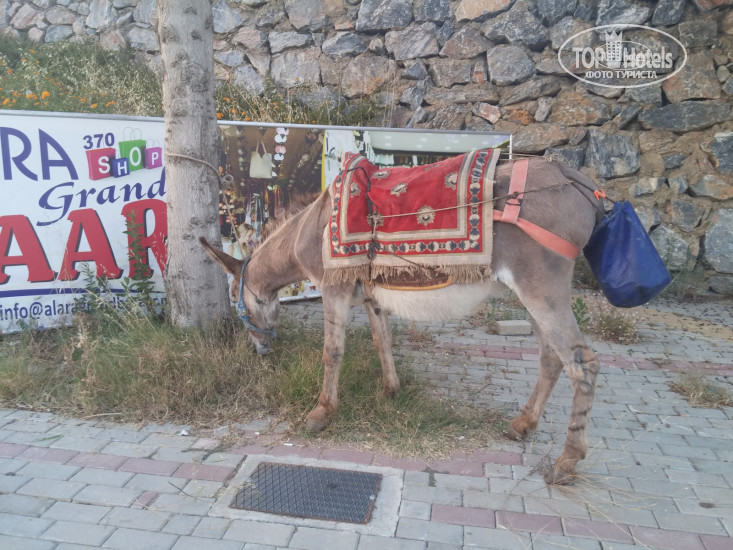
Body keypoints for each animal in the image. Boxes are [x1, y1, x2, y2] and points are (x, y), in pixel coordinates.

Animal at [200, 155, 606, 484]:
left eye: (237, 303)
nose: (260, 350)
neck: (310, 228)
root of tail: (571, 175)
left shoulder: (334, 289)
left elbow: (332, 352)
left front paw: (322, 411)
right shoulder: (371, 296)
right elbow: (383, 341)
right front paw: (390, 391)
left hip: (541, 288)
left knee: (582, 363)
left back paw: (567, 461)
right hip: (531, 296)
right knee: (551, 358)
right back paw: (523, 426)